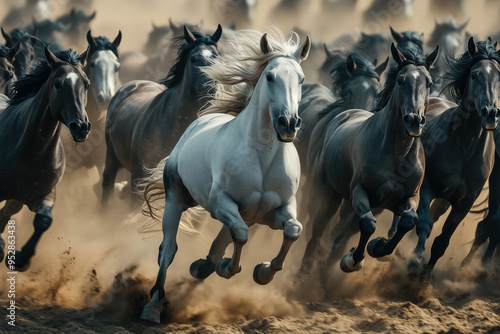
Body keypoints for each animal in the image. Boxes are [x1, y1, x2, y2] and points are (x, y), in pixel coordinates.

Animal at [0, 47, 90, 272]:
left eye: (86, 83)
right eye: (58, 83)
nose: (81, 127)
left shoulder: (44, 194)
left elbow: (44, 221)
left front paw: (20, 258)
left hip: (17, 199)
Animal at [137, 29, 308, 324]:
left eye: (301, 79)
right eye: (270, 76)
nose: (288, 123)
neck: (262, 159)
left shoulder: (278, 210)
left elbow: (293, 230)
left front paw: (263, 272)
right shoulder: (221, 203)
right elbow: (239, 235)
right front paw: (230, 269)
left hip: (249, 214)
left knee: (222, 241)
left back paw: (203, 267)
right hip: (176, 199)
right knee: (168, 250)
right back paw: (153, 306)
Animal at [410, 37, 500, 276]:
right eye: (475, 75)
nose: (490, 112)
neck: (464, 147)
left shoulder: (464, 202)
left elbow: (442, 241)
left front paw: (425, 277)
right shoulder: (428, 186)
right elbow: (424, 224)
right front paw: (414, 264)